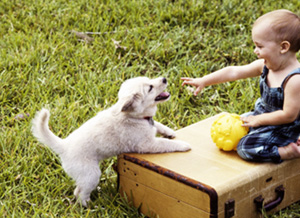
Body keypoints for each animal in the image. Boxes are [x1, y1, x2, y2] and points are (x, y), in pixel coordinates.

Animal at [32, 76, 190, 206]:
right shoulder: (147, 144)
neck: (133, 116)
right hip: (91, 173)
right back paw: (90, 206)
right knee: (80, 193)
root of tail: (64, 145)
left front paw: (169, 132)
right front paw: (183, 145)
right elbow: (165, 143)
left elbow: (158, 125)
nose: (164, 79)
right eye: (150, 87)